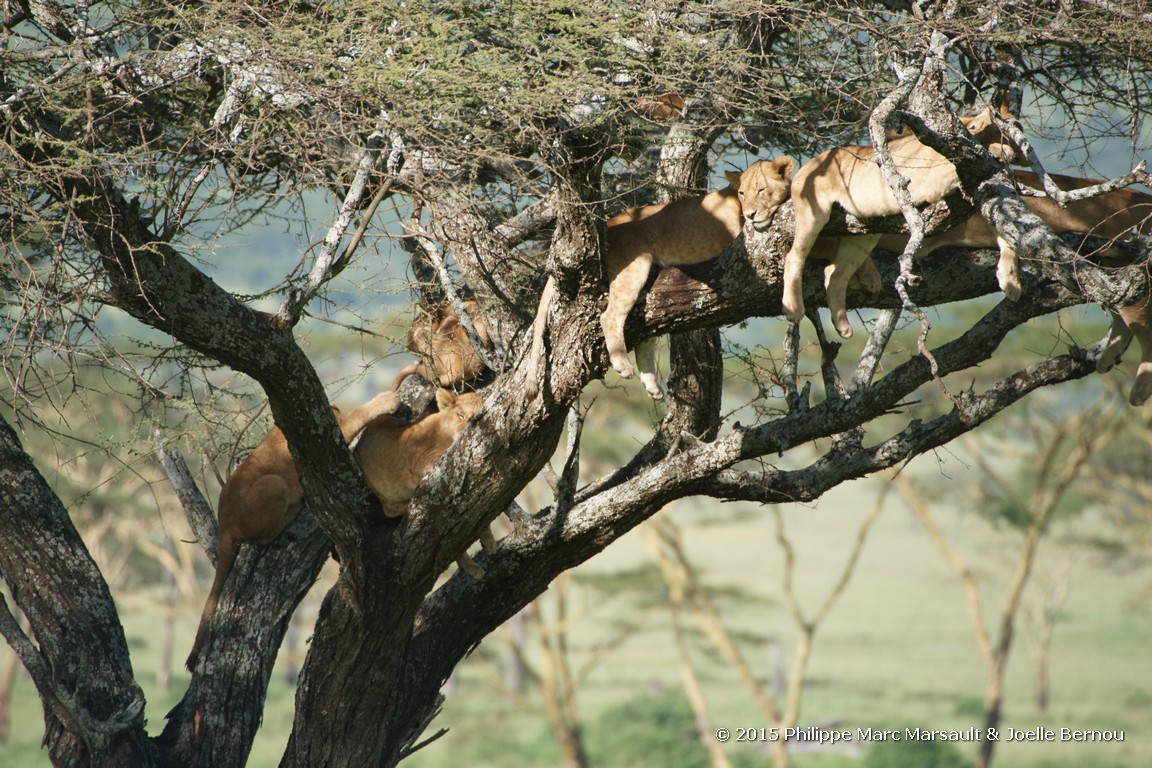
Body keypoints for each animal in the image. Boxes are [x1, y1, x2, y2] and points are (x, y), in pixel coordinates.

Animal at [187, 393, 400, 667]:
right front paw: (387, 400)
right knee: (265, 536)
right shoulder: (322, 447)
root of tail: (224, 524)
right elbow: (358, 415)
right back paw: (293, 509)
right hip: (274, 483)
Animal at [527, 154, 797, 396]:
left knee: (645, 330)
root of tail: (610, 223)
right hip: (635, 265)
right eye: (742, 193)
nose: (750, 214)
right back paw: (622, 365)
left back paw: (652, 385)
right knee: (610, 316)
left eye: (761, 190)